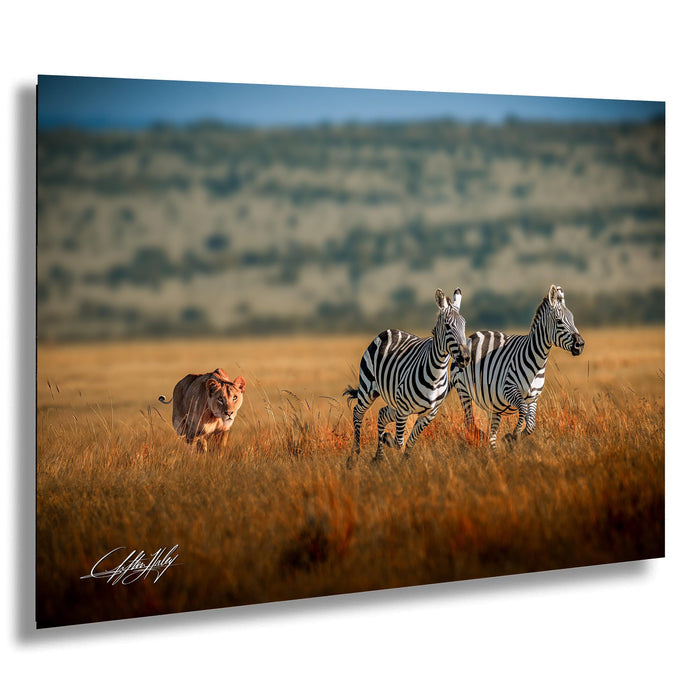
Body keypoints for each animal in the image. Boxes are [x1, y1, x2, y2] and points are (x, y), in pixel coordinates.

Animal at [344, 288, 469, 467]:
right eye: (447, 326)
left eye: (464, 325)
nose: (465, 358)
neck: (436, 375)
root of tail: (389, 331)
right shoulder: (403, 410)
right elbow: (399, 441)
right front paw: (388, 440)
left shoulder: (429, 414)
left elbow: (410, 441)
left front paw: (405, 464)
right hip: (368, 388)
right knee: (358, 413)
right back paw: (354, 455)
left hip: (394, 402)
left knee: (382, 414)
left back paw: (379, 458)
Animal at [449, 284, 584, 448]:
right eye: (559, 321)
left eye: (572, 319)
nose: (580, 345)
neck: (537, 363)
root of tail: (472, 336)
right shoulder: (509, 390)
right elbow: (523, 411)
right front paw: (512, 435)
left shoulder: (533, 397)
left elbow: (531, 425)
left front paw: (513, 437)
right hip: (463, 390)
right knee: (469, 421)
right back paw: (480, 438)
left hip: (491, 401)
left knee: (492, 431)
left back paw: (493, 451)